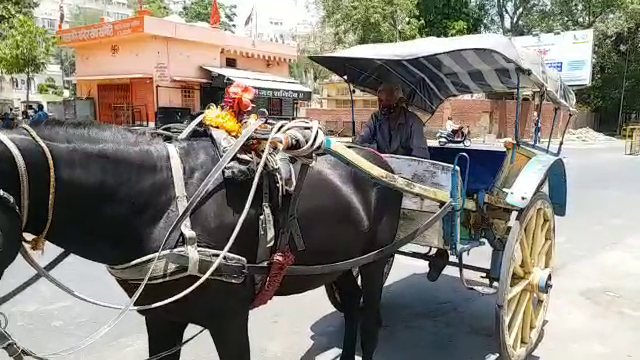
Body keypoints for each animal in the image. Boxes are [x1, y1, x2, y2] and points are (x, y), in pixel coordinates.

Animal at [0, 124, 402, 360]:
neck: (163, 203)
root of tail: (379, 161)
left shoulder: (229, 319)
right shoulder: (161, 318)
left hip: (376, 259)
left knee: (369, 319)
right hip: (342, 263)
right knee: (351, 305)